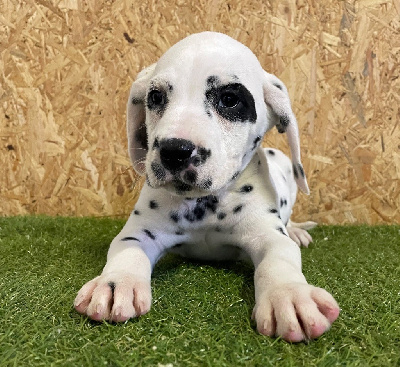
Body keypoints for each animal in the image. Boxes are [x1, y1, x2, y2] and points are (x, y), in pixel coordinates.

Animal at [73, 32, 340, 344]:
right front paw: (114, 284)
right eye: (155, 97)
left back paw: (297, 231)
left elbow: (279, 259)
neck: (205, 204)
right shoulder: (139, 233)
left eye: (229, 99)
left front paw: (288, 294)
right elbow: (127, 251)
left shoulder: (269, 236)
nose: (174, 151)